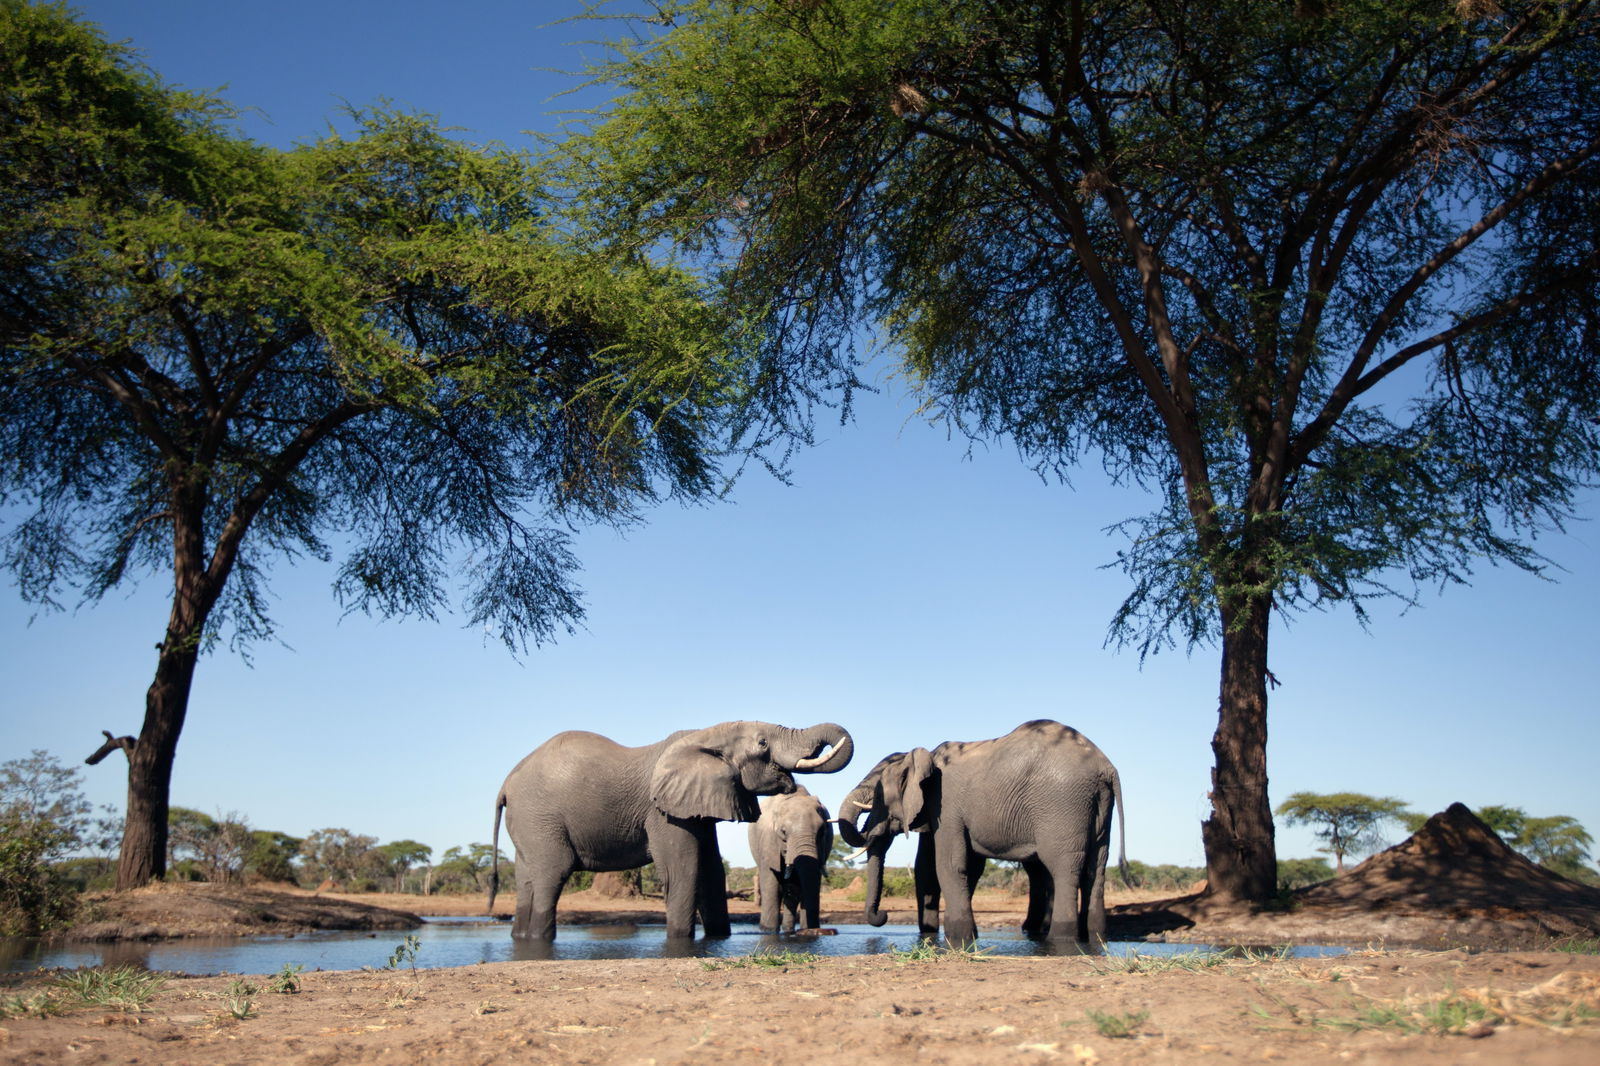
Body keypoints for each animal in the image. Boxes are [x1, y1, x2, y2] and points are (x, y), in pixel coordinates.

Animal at [748, 781, 838, 928]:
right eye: (783, 832)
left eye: (822, 831)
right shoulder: (768, 840)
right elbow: (771, 885)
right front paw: (768, 930)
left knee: (792, 890)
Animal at [838, 717, 1126, 941]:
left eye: (876, 796)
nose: (883, 915)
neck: (923, 756)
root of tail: (1106, 767)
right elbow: (935, 869)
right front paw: (935, 935)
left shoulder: (946, 803)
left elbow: (948, 864)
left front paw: (959, 938)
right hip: (1099, 806)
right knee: (1096, 868)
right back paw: (1096, 938)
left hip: (1062, 803)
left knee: (1062, 867)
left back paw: (1060, 939)